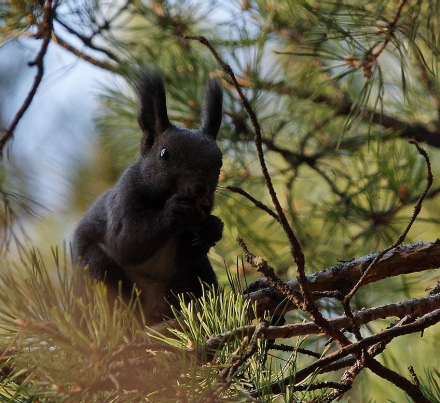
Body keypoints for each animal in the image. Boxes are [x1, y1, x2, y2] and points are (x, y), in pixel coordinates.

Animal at [73, 69, 223, 326]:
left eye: (220, 161)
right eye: (164, 154)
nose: (198, 189)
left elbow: (189, 253)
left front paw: (213, 228)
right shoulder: (123, 199)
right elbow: (126, 242)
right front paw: (174, 211)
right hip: (96, 271)